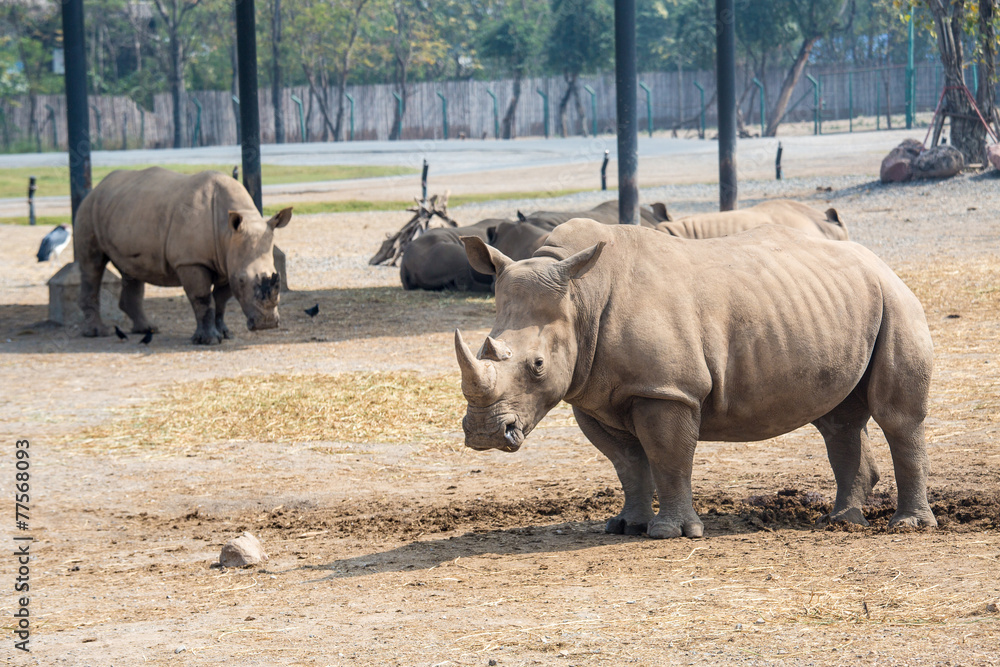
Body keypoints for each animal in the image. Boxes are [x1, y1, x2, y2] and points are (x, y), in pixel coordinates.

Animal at [74, 167, 292, 345]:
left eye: (276, 275)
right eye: (242, 280)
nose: (266, 324)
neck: (227, 232)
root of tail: (97, 187)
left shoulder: (227, 261)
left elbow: (221, 300)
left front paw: (225, 334)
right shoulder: (191, 262)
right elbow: (202, 299)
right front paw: (208, 340)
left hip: (125, 212)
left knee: (132, 270)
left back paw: (147, 329)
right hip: (88, 210)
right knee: (92, 265)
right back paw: (97, 333)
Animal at [455, 218, 936, 538]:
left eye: (537, 365)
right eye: (482, 350)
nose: (484, 434)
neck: (581, 298)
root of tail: (876, 259)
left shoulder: (667, 390)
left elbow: (668, 456)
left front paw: (670, 533)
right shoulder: (595, 394)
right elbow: (627, 463)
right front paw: (625, 525)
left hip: (896, 299)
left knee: (897, 418)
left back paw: (907, 525)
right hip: (836, 305)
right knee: (837, 420)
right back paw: (841, 521)